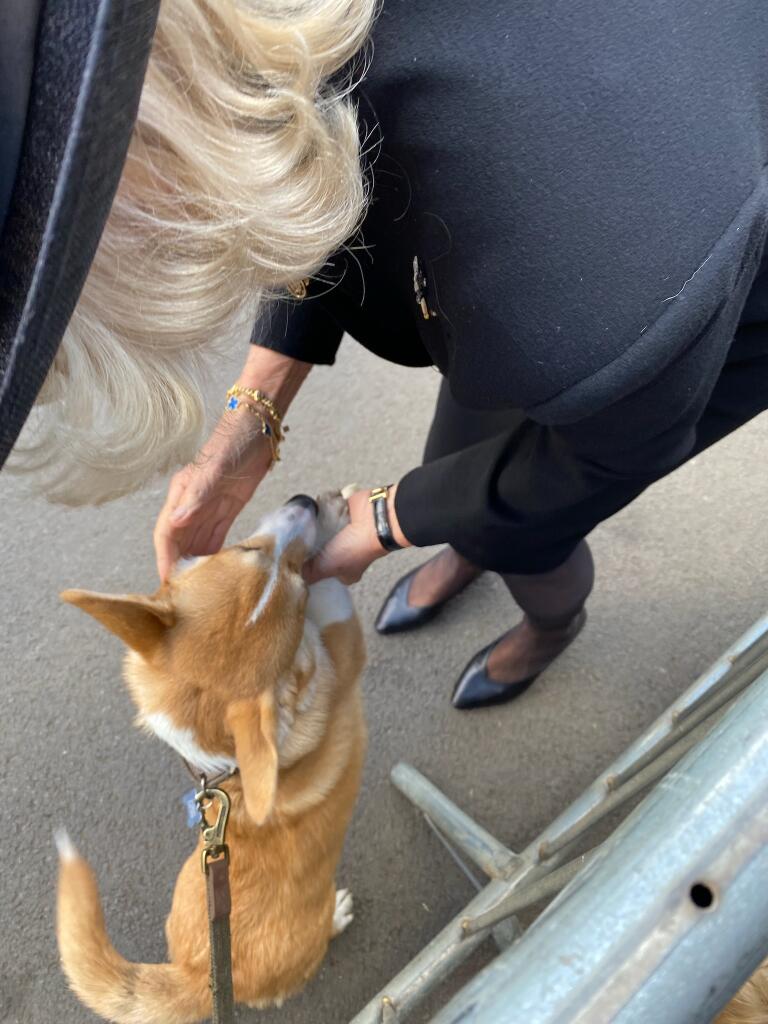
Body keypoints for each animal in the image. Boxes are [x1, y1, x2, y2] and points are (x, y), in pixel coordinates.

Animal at [54, 491, 366, 1019]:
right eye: (246, 549)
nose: (305, 500)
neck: (222, 761)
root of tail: (195, 978)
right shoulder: (344, 645)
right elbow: (335, 598)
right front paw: (337, 521)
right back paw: (338, 916)